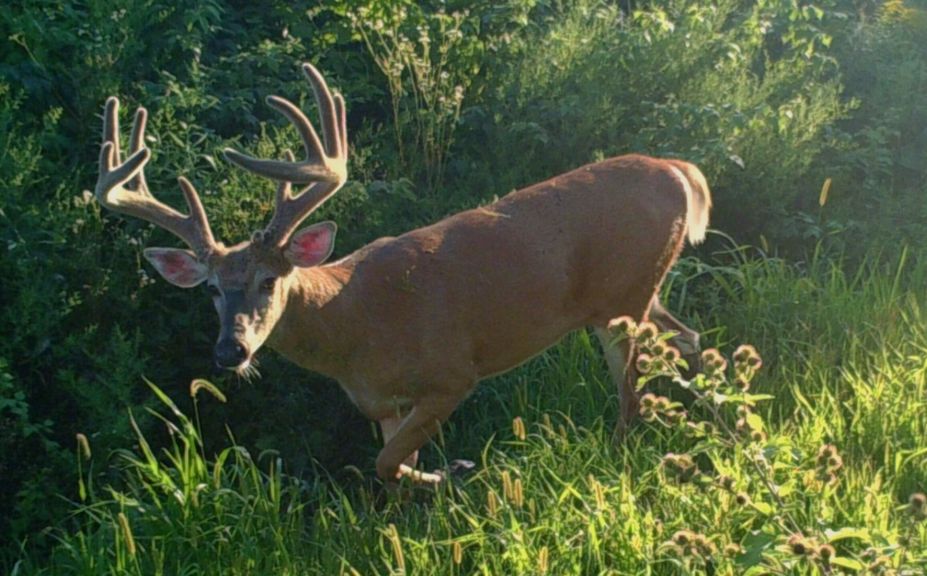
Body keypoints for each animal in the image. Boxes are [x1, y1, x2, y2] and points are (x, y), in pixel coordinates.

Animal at [96, 63, 712, 484]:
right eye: (211, 291)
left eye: (270, 280)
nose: (231, 351)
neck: (353, 327)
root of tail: (679, 169)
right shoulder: (384, 404)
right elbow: (391, 465)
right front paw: (427, 493)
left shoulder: (451, 374)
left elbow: (386, 463)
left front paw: (452, 472)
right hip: (643, 291)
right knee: (690, 336)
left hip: (625, 299)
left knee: (634, 388)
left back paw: (629, 446)